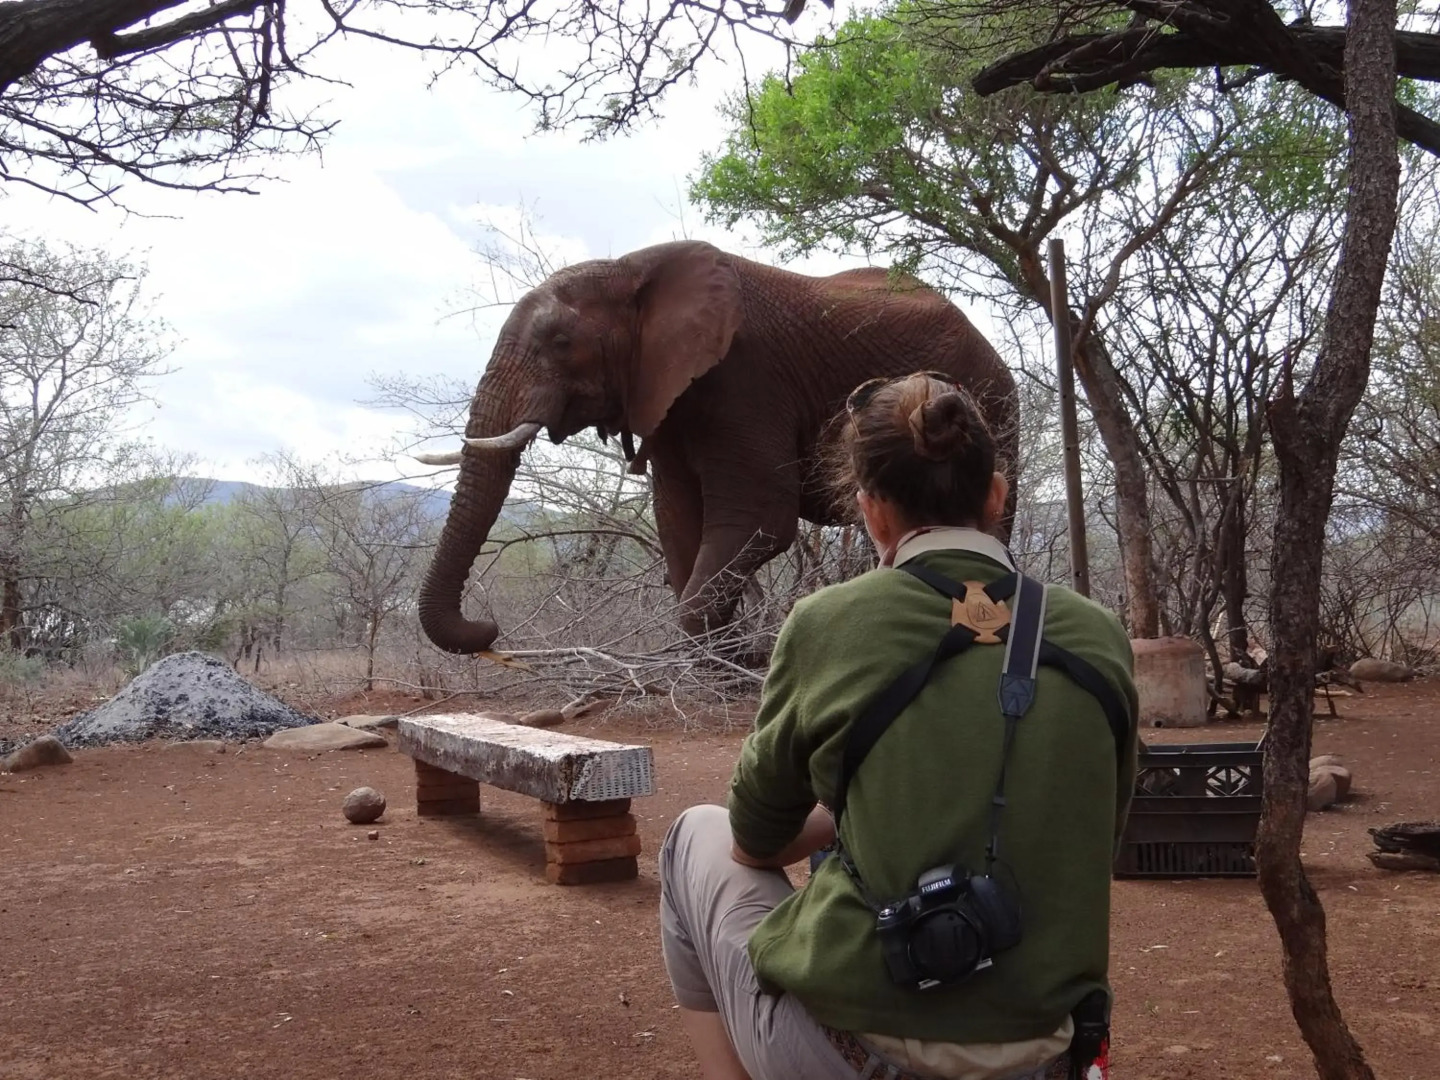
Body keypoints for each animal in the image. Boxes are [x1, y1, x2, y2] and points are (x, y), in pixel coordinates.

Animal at [416, 240, 1017, 655]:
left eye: (561, 343)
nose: (489, 629)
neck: (630, 267)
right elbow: (678, 519)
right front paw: (717, 669)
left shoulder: (746, 379)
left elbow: (761, 516)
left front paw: (734, 666)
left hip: (993, 402)